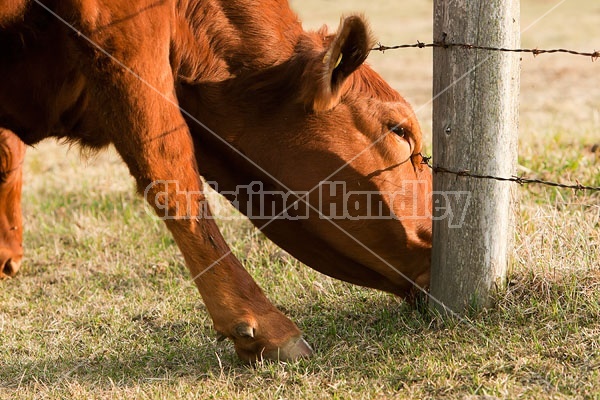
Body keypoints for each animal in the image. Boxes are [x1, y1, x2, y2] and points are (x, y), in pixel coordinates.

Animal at [0, 0, 432, 362]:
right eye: (399, 130)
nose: (435, 243)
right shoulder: (123, 36)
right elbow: (169, 170)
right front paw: (262, 325)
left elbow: (8, 156)